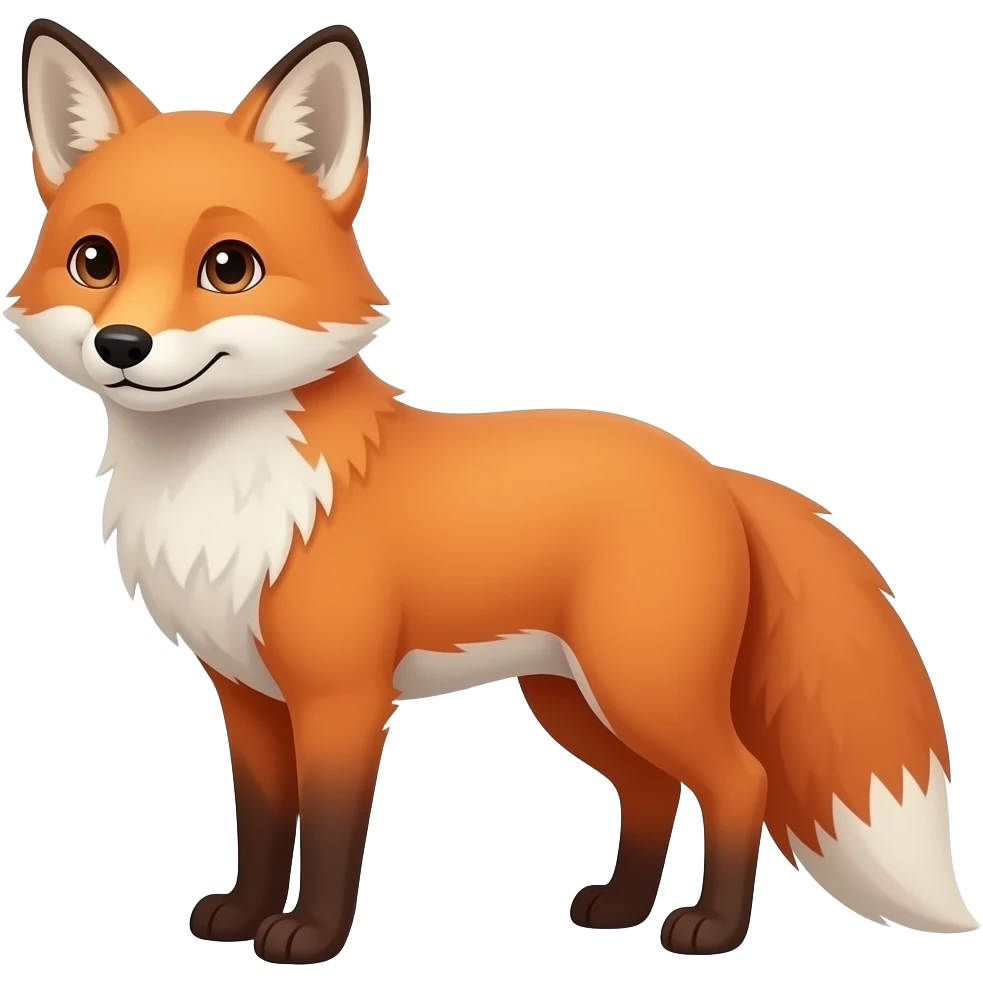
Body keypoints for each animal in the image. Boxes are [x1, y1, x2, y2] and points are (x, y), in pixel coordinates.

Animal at [6, 17, 978, 966]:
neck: (222, 488)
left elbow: (329, 829)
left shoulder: (341, 696)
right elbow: (263, 820)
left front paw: (308, 937)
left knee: (741, 780)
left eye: (228, 266)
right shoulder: (245, 696)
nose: (122, 345)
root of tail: (710, 470)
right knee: (653, 787)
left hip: (641, 685)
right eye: (95, 260)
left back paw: (709, 930)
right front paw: (243, 914)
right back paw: (620, 907)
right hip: (573, 696)